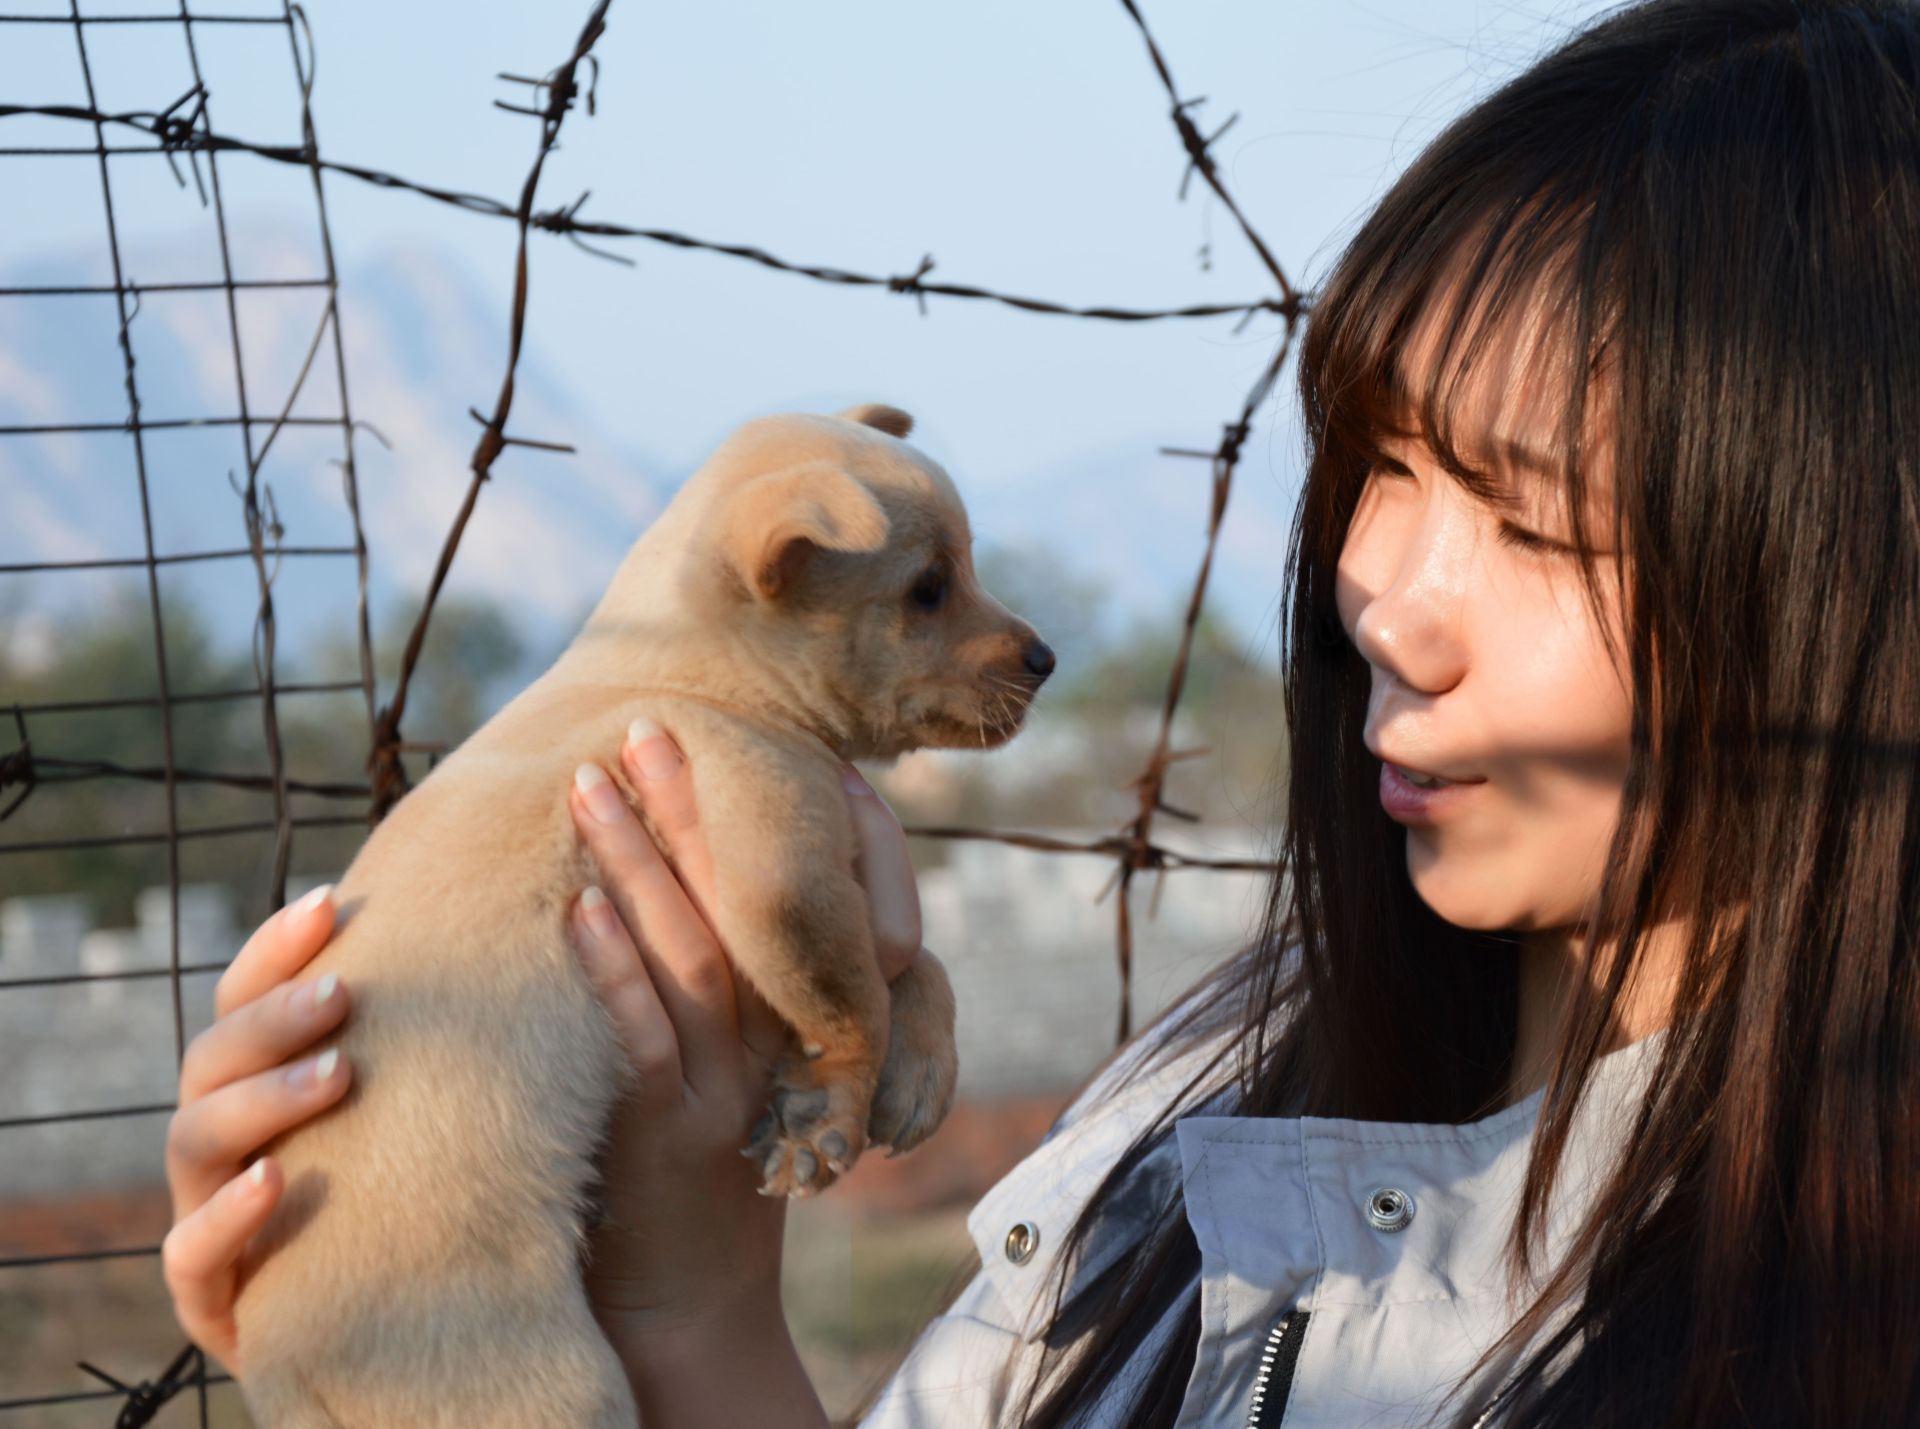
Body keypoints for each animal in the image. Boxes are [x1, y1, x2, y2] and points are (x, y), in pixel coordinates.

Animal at [232, 405, 1059, 1429]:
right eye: (930, 589)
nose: (1047, 660)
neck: (690, 671)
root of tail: (281, 1366)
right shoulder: (778, 862)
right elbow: (854, 996)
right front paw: (826, 1111)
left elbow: (917, 963)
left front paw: (921, 1071)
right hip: (554, 1389)